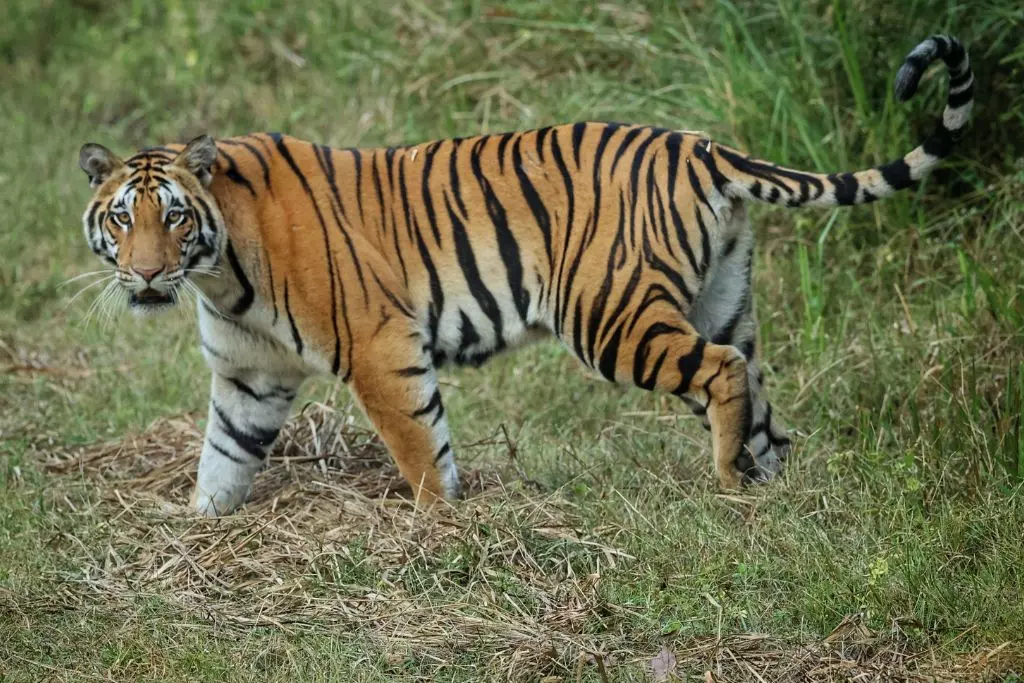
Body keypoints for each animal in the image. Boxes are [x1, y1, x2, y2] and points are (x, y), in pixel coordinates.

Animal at [76, 35, 973, 517]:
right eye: (123, 219)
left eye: (174, 217)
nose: (147, 274)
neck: (219, 274)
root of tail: (700, 145)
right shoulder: (247, 377)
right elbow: (221, 459)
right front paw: (201, 527)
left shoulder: (381, 347)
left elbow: (421, 446)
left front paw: (438, 525)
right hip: (721, 304)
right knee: (762, 406)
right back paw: (767, 495)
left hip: (613, 318)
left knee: (720, 374)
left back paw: (724, 487)